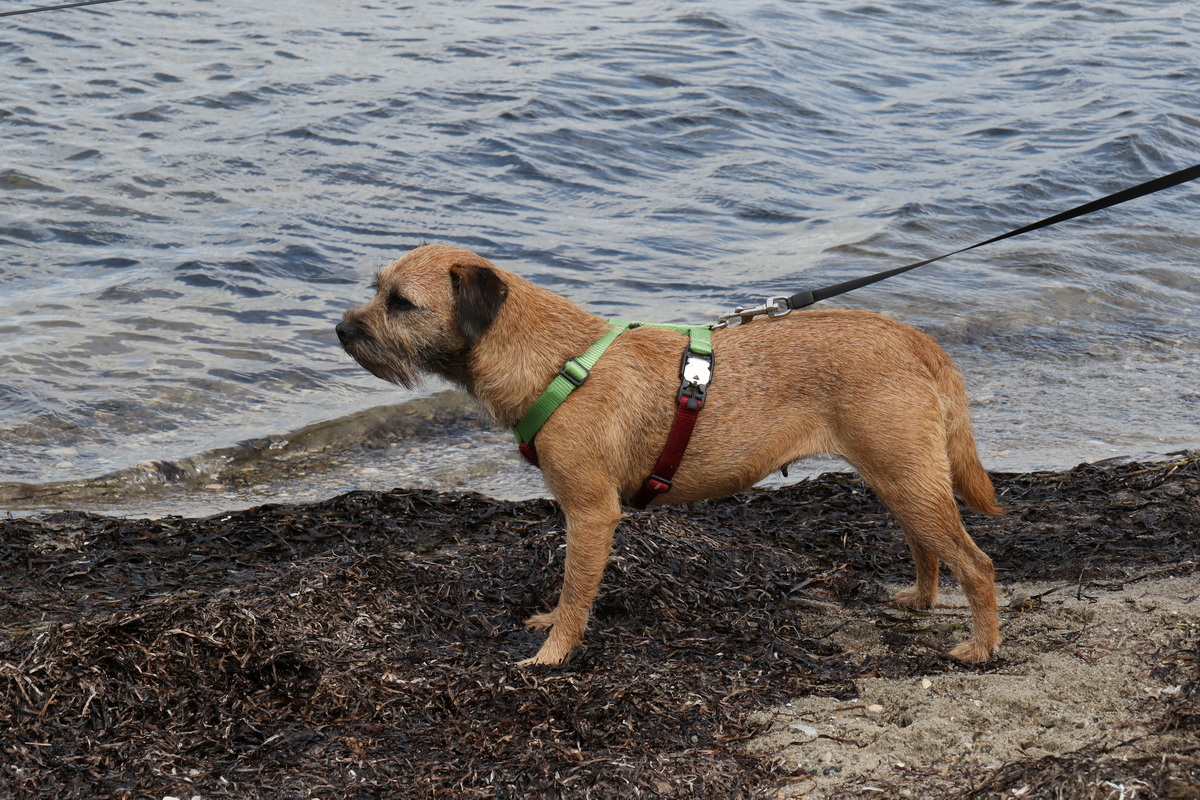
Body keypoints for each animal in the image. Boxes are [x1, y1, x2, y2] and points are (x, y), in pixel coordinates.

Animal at [337, 244, 1003, 666]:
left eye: (401, 302)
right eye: (377, 290)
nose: (342, 330)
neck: (553, 359)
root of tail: (911, 338)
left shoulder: (591, 514)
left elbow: (577, 589)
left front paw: (552, 655)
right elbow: (568, 592)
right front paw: (551, 628)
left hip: (907, 478)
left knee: (976, 564)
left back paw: (980, 647)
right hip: (898, 479)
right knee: (926, 545)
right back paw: (920, 598)